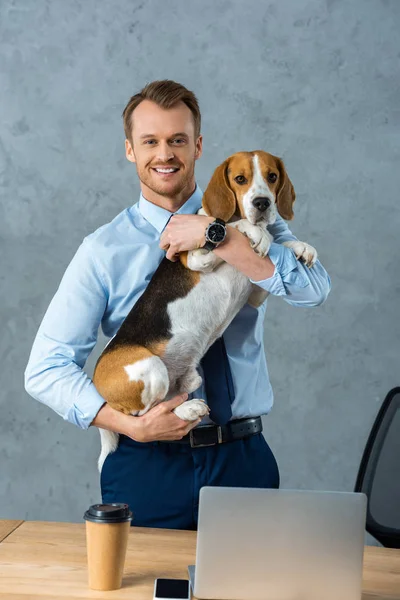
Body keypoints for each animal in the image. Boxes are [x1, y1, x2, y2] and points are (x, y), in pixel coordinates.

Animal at [94, 149, 316, 468]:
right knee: (142, 420)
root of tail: (98, 386)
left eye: (272, 176)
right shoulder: (198, 258)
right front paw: (253, 231)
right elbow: (230, 227)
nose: (262, 203)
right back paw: (185, 411)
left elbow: (277, 251)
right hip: (150, 369)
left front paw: (299, 247)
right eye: (240, 179)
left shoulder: (257, 292)